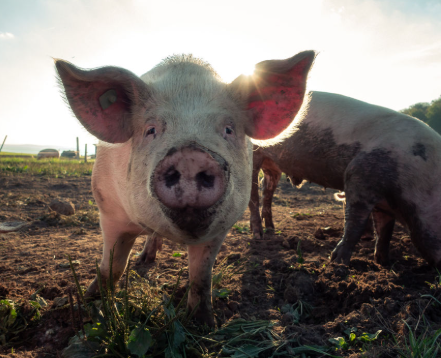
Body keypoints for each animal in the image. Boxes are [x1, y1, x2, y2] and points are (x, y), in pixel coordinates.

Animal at [55, 51, 314, 328]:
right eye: (151, 130)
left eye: (228, 129)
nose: (190, 156)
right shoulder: (109, 209)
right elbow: (112, 266)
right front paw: (90, 304)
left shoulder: (221, 228)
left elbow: (201, 276)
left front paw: (204, 325)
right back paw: (144, 260)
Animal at [249, 91, 440, 268]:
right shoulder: (358, 177)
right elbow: (355, 225)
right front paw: (337, 262)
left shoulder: (383, 201)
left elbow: (385, 231)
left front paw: (384, 263)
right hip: (253, 155)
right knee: (252, 193)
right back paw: (258, 235)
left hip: (273, 165)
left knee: (266, 188)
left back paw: (271, 229)